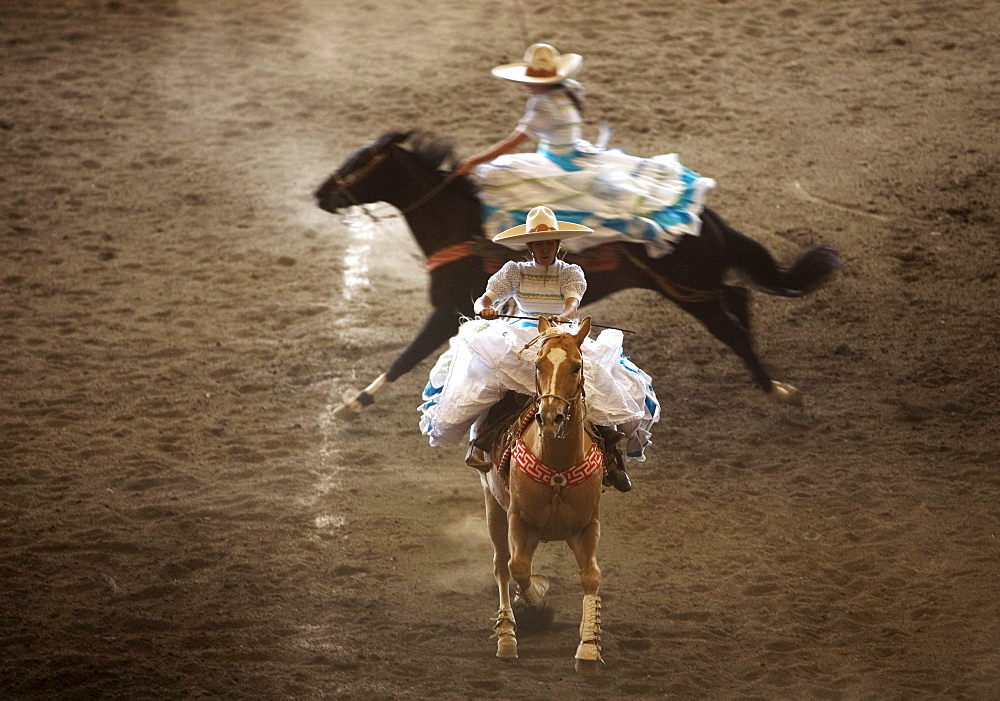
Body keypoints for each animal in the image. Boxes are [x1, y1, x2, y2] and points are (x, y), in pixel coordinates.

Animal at [314, 131, 844, 416]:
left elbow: (404, 359)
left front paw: (349, 405)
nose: (320, 193)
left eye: (360, 163)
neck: (458, 226)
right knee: (739, 298)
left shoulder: (448, 310)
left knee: (732, 328)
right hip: (697, 288)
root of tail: (703, 217)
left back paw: (778, 390)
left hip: (691, 293)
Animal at [482, 316, 600, 672]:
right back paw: (507, 635)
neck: (558, 466)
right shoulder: (518, 520)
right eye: (538, 364)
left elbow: (591, 576)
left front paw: (589, 648)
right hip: (493, 506)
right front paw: (538, 597)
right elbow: (518, 568)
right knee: (502, 565)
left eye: (576, 366)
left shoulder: (587, 526)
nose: (550, 417)